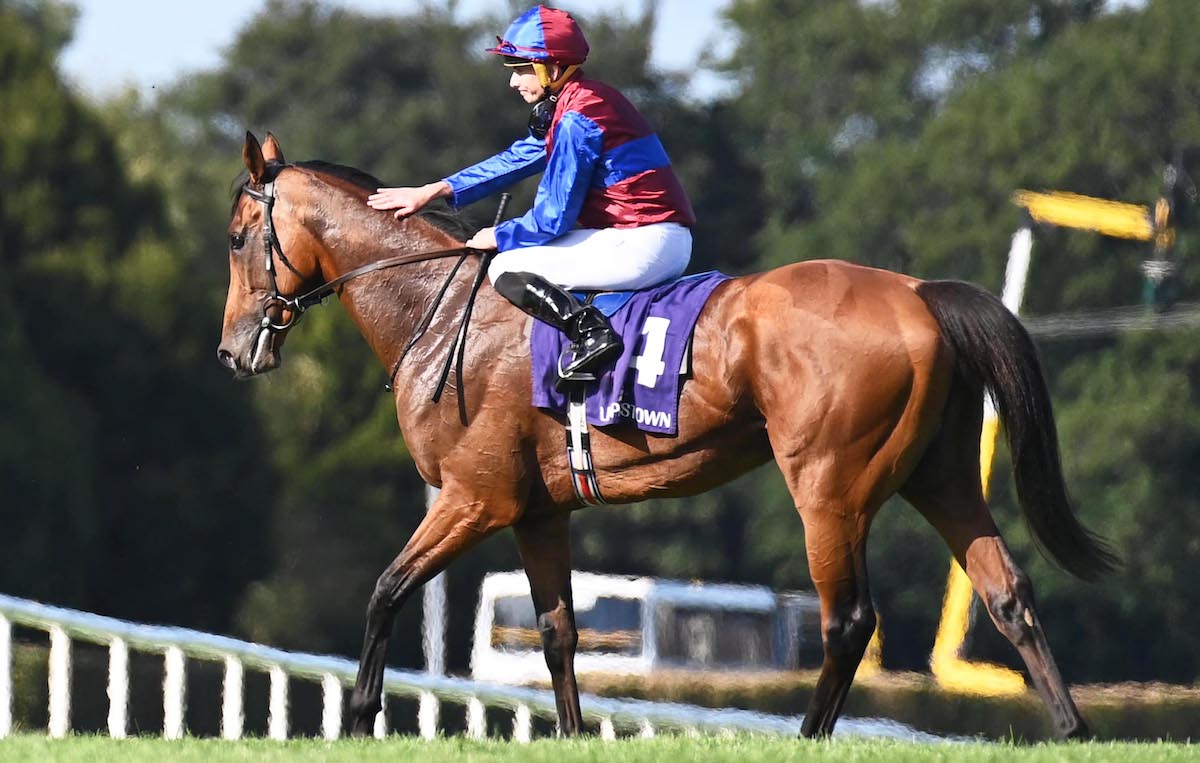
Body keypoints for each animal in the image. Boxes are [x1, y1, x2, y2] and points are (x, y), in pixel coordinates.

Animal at [216, 132, 1113, 739]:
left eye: (235, 237)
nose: (232, 350)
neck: (437, 311)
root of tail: (920, 293)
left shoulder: (475, 498)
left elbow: (385, 591)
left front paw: (359, 715)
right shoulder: (538, 512)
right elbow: (558, 631)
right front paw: (572, 732)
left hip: (829, 486)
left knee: (849, 618)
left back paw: (808, 735)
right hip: (944, 474)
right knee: (1007, 591)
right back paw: (1071, 726)